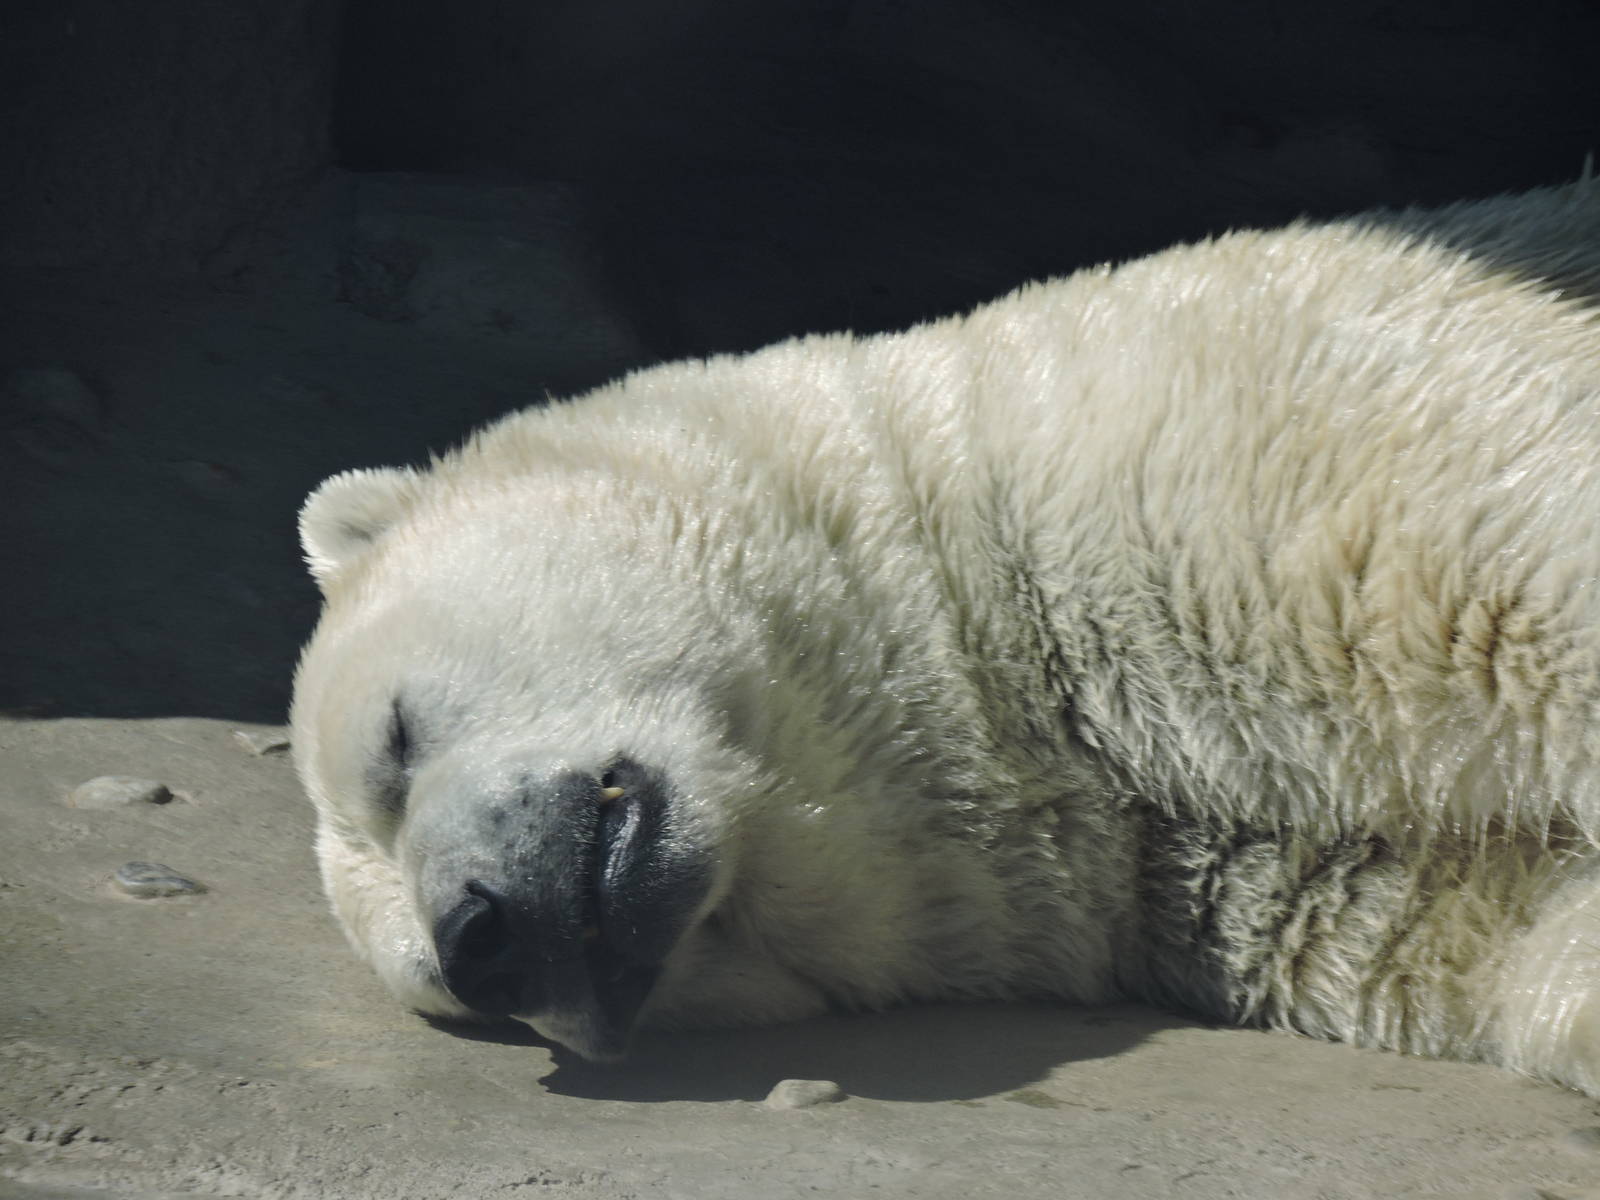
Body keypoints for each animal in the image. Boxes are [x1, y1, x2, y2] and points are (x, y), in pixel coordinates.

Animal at [291, 178, 1600, 1093]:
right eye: (442, 988)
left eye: (394, 739)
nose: (483, 936)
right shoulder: (1231, 874)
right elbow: (1508, 934)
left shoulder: (1269, 416)